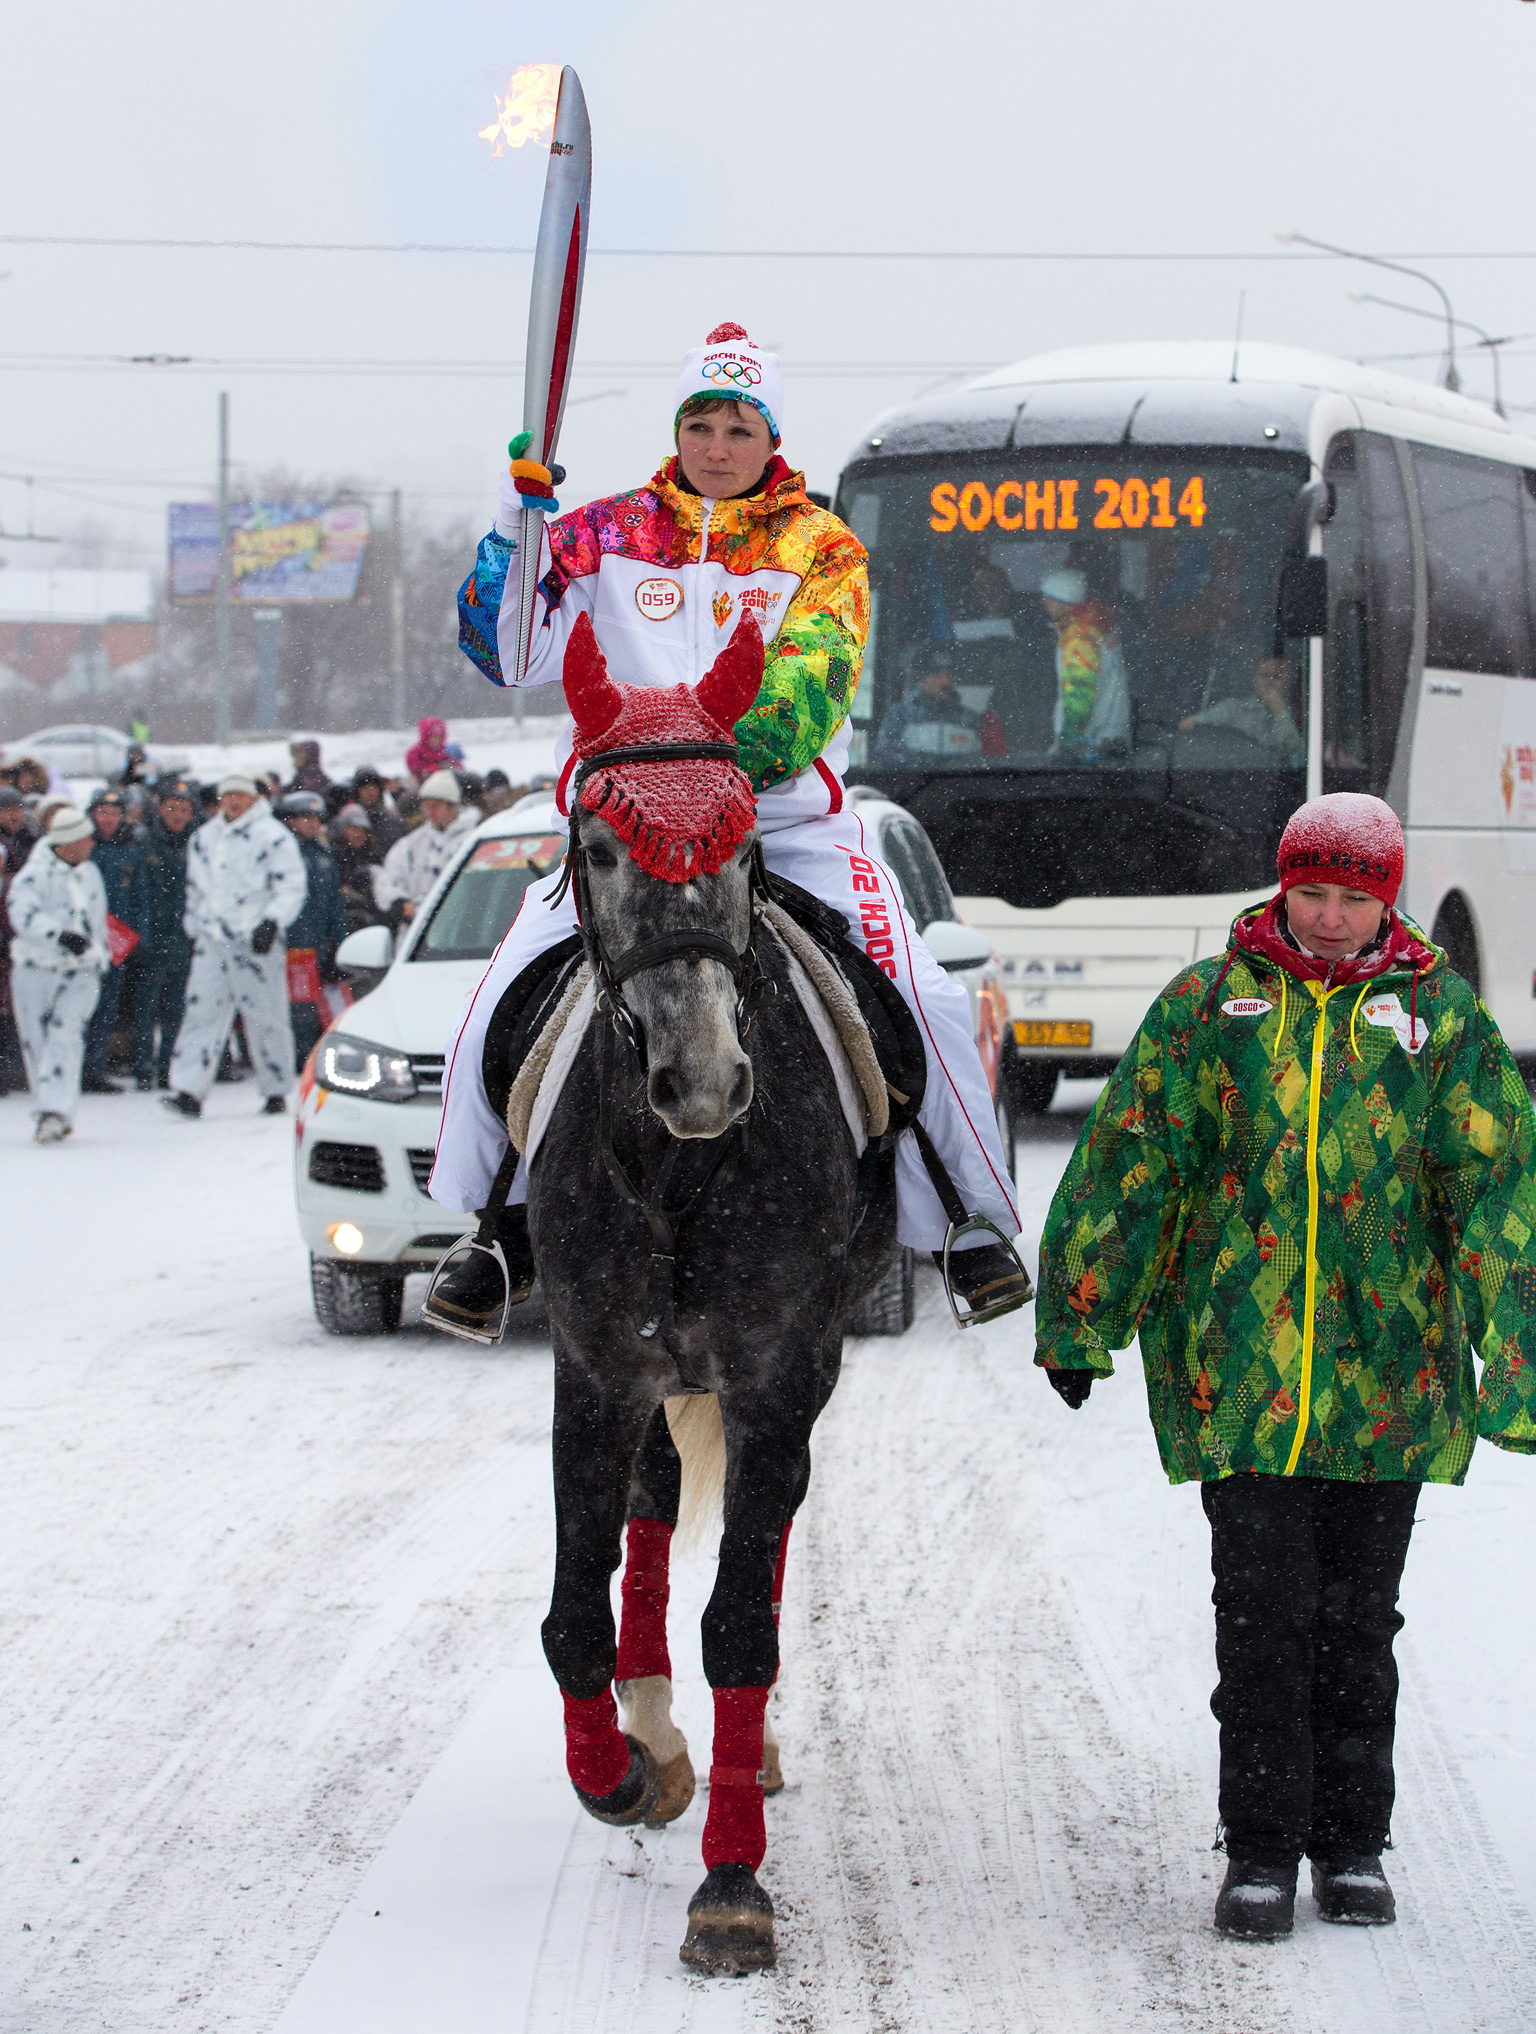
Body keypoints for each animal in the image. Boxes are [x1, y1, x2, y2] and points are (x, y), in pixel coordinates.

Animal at [524, 614, 895, 1968]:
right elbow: (571, 1617)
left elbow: (742, 1616)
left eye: (738, 844)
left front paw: (732, 1884)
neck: (682, 1168)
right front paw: (623, 1774)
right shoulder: (596, 1366)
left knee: (766, 1527)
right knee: (652, 1507)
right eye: (596, 845)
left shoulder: (777, 1369)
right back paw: (653, 1729)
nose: (703, 1078)